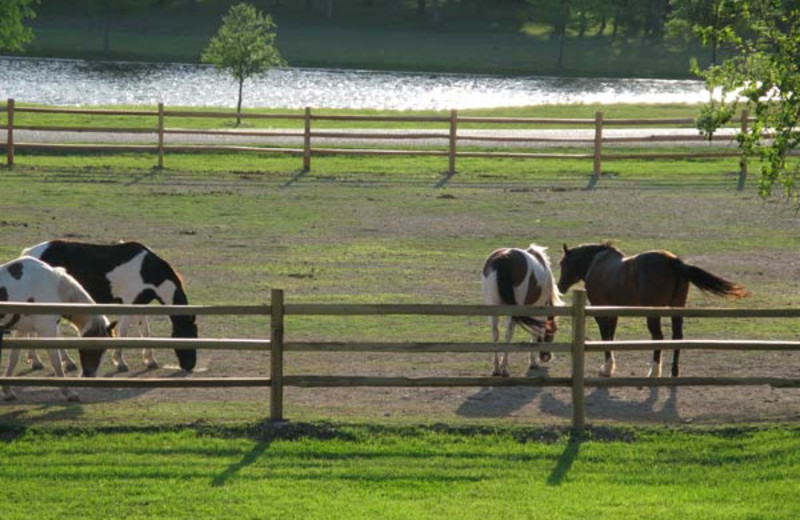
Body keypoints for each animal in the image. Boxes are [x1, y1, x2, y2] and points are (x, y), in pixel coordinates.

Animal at [0, 256, 115, 402]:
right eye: (96, 346)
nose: (89, 374)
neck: (52, 287)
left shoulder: (23, 330)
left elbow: (13, 359)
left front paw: (7, 391)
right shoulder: (47, 330)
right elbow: (56, 361)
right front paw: (68, 392)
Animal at [22, 240, 198, 374]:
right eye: (189, 336)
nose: (190, 366)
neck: (147, 270)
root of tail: (31, 253)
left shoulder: (139, 303)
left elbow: (145, 331)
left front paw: (150, 360)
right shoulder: (129, 303)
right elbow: (123, 331)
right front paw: (120, 362)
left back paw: (38, 360)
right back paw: (59, 362)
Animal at [482, 244, 564, 378]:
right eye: (552, 331)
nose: (546, 357)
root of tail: (505, 257)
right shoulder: (538, 311)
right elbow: (535, 332)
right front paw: (533, 362)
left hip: (493, 308)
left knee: (495, 333)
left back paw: (497, 369)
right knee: (508, 334)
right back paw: (504, 369)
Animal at [556, 242, 752, 380]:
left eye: (562, 263)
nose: (560, 286)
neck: (595, 263)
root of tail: (672, 261)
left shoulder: (601, 311)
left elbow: (606, 337)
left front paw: (607, 368)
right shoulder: (613, 312)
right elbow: (611, 336)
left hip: (653, 312)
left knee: (658, 337)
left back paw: (654, 372)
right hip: (676, 308)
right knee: (677, 337)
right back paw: (674, 372)